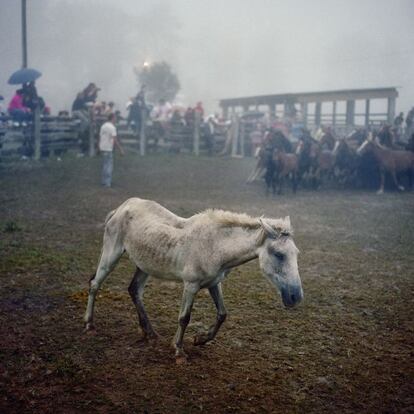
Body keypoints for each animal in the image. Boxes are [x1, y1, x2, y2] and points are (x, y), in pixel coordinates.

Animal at [85, 197, 304, 360]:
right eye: (279, 254)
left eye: (296, 253)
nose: (296, 296)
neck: (215, 245)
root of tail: (121, 208)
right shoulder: (191, 285)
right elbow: (184, 317)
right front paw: (179, 350)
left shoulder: (214, 283)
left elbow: (222, 314)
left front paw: (200, 339)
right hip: (111, 254)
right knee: (95, 284)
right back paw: (89, 325)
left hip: (144, 265)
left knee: (134, 290)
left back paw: (150, 333)